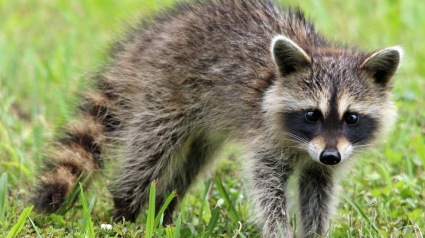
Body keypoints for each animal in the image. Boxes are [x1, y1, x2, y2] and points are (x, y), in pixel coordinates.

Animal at [33, 0, 400, 236]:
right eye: (312, 114)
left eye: (351, 118)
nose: (331, 156)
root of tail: (154, 35)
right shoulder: (266, 137)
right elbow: (267, 187)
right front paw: (279, 230)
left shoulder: (322, 158)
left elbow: (318, 190)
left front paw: (315, 231)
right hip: (166, 89)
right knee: (150, 149)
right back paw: (126, 208)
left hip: (203, 123)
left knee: (192, 161)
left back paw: (164, 209)